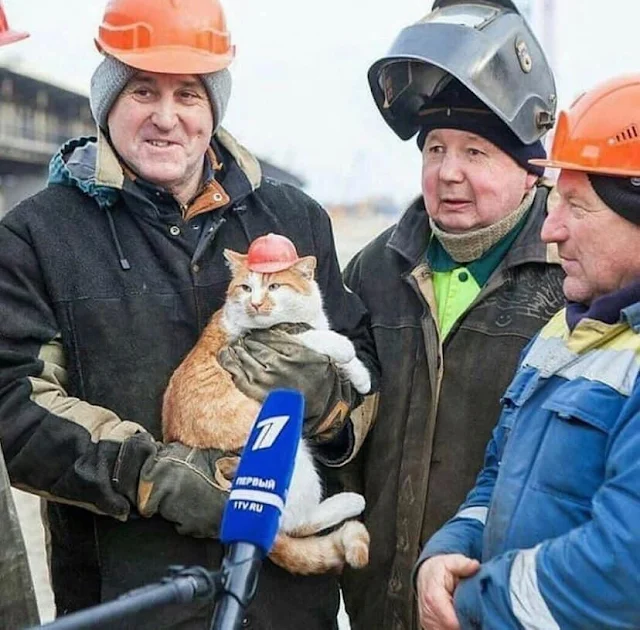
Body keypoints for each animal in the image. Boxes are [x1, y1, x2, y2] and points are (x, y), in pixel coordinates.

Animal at [160, 247, 370, 576]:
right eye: (246, 288)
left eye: (274, 286)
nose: (256, 303)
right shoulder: (275, 337)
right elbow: (318, 339)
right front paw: (343, 348)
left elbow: (338, 360)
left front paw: (361, 377)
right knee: (293, 522)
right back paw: (349, 502)